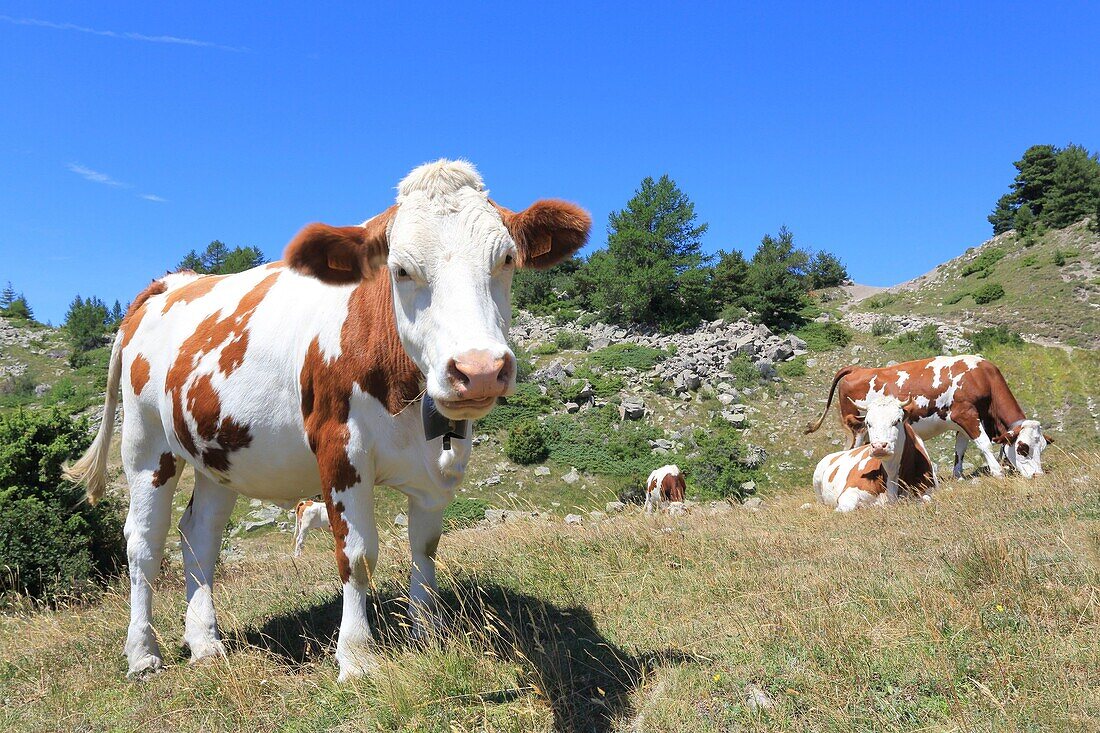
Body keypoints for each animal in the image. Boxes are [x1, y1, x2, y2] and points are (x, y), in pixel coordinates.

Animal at [64, 159, 589, 677]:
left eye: (506, 260)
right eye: (401, 269)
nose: (478, 370)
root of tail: (171, 282)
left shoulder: (439, 462)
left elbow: (425, 548)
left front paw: (428, 634)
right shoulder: (340, 448)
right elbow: (357, 554)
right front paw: (356, 656)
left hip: (218, 449)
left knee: (199, 536)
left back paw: (205, 642)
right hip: (145, 442)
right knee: (144, 542)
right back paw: (142, 652)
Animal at [805, 354, 1051, 479]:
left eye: (1042, 447)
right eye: (1023, 448)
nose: (1039, 475)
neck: (982, 377)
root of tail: (856, 370)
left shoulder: (961, 423)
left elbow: (960, 450)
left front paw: (958, 476)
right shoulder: (966, 414)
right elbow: (983, 444)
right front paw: (997, 472)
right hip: (856, 428)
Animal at [809, 394, 937, 508]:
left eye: (897, 420)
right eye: (868, 423)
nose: (879, 446)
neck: (892, 473)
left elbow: (927, 499)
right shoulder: (849, 492)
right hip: (817, 483)